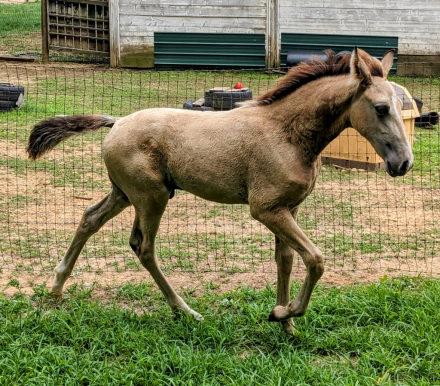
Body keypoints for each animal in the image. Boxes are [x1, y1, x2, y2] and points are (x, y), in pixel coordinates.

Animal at [26, 47, 412, 332]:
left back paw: (56, 288)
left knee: (90, 219)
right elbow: (315, 259)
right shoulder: (266, 209)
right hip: (152, 197)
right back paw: (186, 311)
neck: (287, 134)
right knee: (144, 248)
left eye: (400, 105)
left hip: (125, 194)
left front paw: (285, 323)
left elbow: (286, 261)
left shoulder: (289, 208)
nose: (404, 163)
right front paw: (282, 313)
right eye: (381, 108)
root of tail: (116, 121)